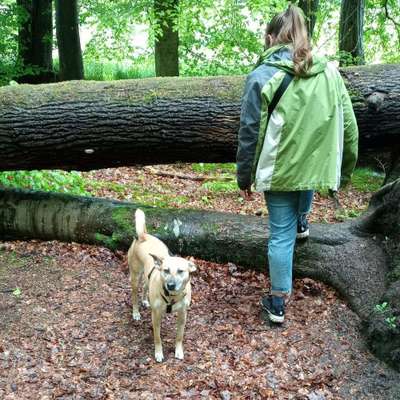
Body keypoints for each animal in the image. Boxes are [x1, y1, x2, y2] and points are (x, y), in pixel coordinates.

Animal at [127, 209, 196, 362]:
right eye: (166, 270)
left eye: (181, 271)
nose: (170, 285)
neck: (171, 296)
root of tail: (143, 236)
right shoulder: (156, 316)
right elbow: (157, 337)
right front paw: (158, 353)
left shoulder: (183, 315)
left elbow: (179, 336)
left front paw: (178, 351)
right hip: (135, 276)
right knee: (134, 295)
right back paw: (136, 312)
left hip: (147, 277)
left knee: (145, 287)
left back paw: (145, 300)